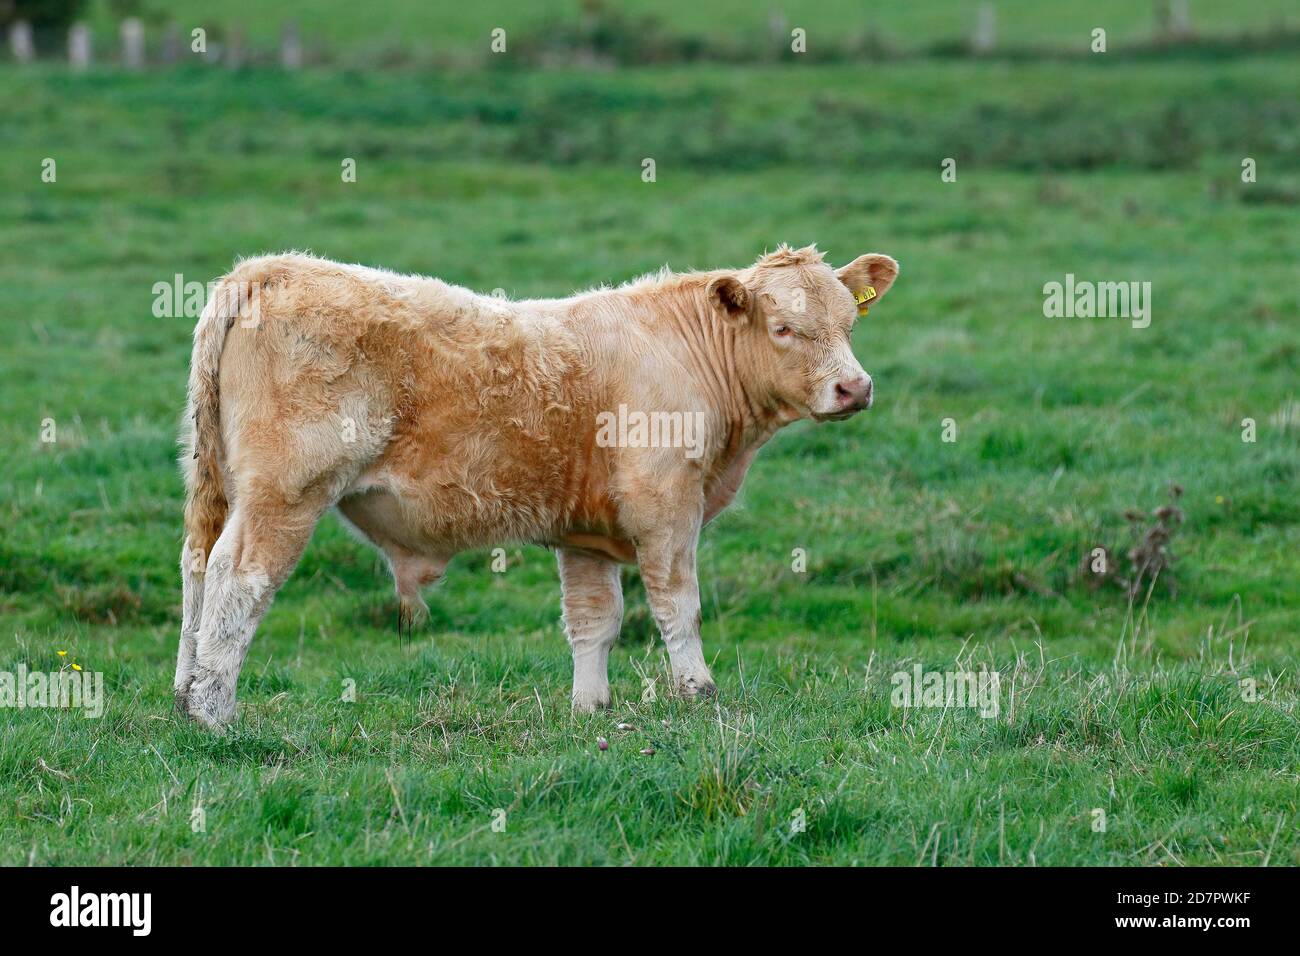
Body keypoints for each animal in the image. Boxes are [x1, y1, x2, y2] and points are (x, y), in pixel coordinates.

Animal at [178, 244, 899, 723]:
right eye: (783, 328)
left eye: (849, 323)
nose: (855, 387)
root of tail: (267, 269)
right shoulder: (666, 509)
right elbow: (678, 607)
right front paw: (697, 691)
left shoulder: (585, 534)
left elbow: (593, 622)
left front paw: (590, 707)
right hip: (284, 495)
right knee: (237, 578)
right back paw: (216, 712)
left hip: (216, 486)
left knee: (196, 570)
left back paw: (186, 695)